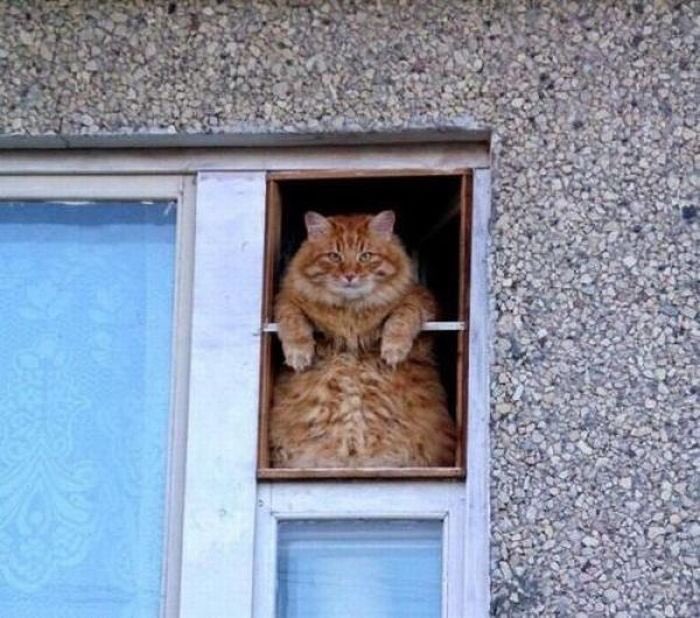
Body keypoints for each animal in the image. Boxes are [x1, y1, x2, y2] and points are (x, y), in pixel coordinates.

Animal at [269, 210, 456, 468]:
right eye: (334, 256)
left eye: (366, 256)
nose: (350, 276)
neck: (350, 313)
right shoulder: (286, 300)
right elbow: (292, 321)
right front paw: (299, 354)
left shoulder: (421, 300)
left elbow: (402, 317)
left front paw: (393, 349)